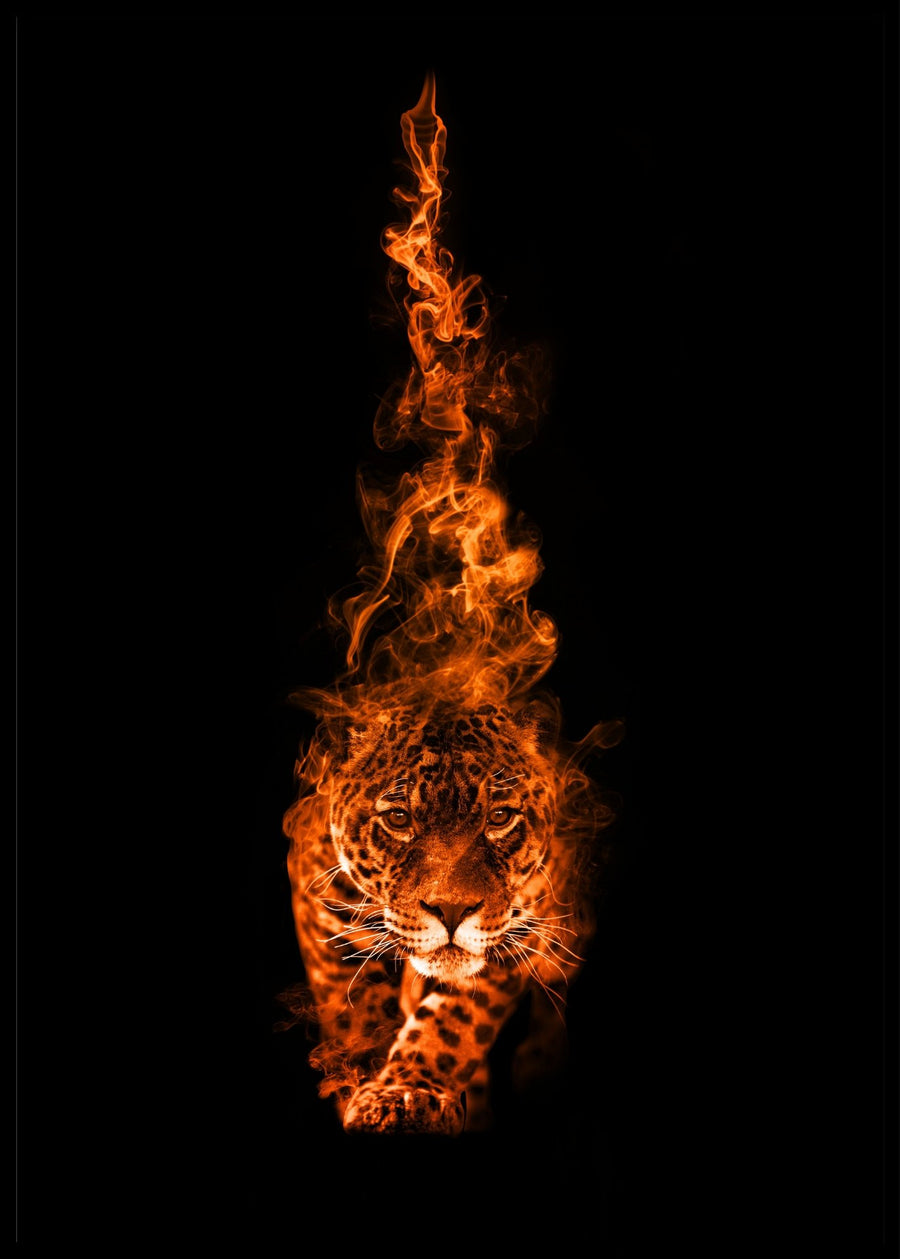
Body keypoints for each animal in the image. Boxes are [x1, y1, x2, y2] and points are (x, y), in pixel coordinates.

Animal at [283, 688, 614, 1136]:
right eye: (398, 818)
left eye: (499, 817)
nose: (453, 909)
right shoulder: (324, 909)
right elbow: (357, 1015)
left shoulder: (517, 931)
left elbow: (454, 1021)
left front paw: (406, 1093)